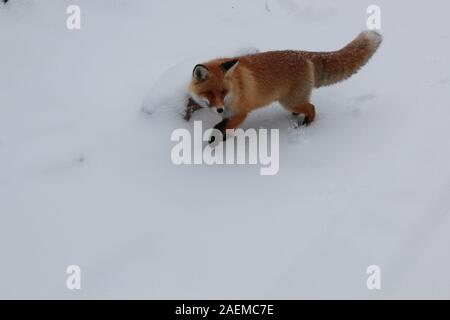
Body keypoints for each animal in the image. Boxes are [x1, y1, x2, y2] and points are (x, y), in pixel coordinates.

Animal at [186, 30, 384, 142]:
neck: (235, 90)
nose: (219, 109)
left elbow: (223, 127)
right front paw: (221, 138)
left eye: (223, 92)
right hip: (293, 101)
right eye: (210, 93)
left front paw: (215, 140)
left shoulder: (241, 112)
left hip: (290, 102)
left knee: (312, 107)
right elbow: (223, 126)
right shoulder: (228, 114)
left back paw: (306, 124)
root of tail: (303, 54)